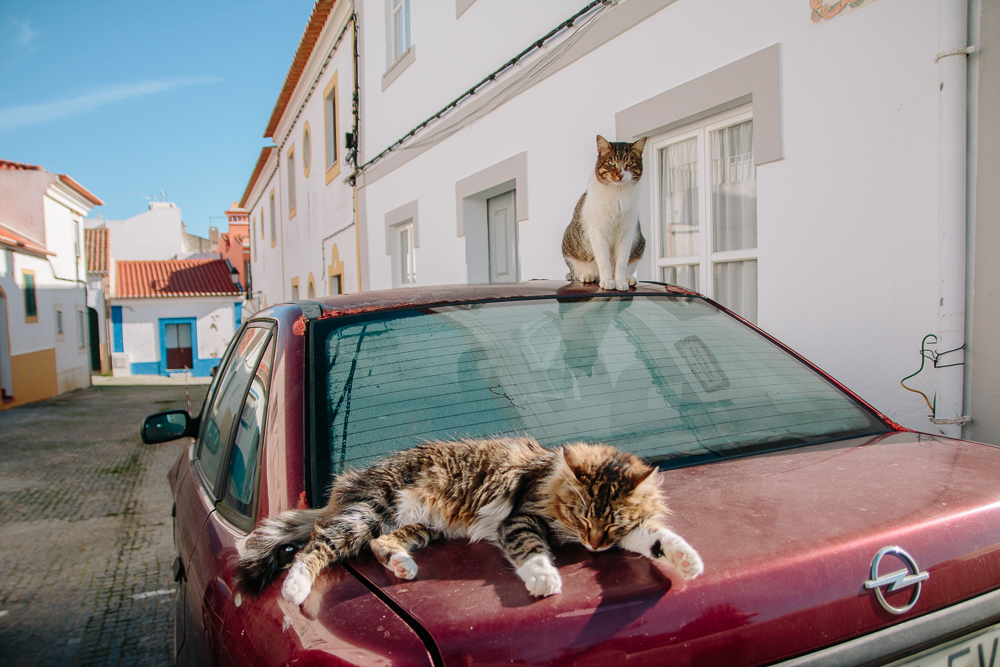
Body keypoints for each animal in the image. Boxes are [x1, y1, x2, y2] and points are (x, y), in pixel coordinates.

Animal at [234, 436, 704, 604]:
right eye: (582, 515)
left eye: (610, 524)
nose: (595, 545)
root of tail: (351, 481)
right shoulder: (520, 519)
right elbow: (532, 551)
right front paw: (544, 580)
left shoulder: (631, 530)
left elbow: (657, 537)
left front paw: (688, 561)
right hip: (373, 510)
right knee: (317, 545)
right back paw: (295, 588)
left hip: (420, 527)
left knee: (379, 544)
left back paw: (402, 566)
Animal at [564, 135, 648, 290]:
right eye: (611, 162)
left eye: (629, 162)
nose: (620, 174)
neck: (618, 194)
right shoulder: (598, 232)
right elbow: (604, 261)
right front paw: (608, 281)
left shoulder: (626, 233)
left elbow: (621, 262)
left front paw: (620, 281)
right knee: (578, 273)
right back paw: (588, 276)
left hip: (639, 245)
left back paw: (629, 278)